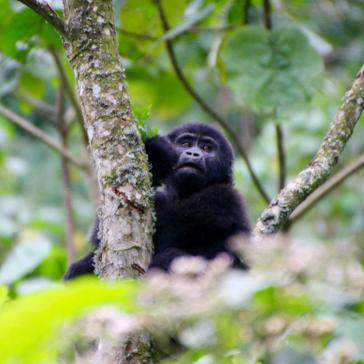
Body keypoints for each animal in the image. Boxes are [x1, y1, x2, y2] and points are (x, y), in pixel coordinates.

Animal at [64, 123, 249, 280]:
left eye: (207, 148)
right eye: (186, 144)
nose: (193, 154)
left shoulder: (225, 197)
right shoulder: (159, 197)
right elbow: (102, 234)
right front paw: (156, 155)